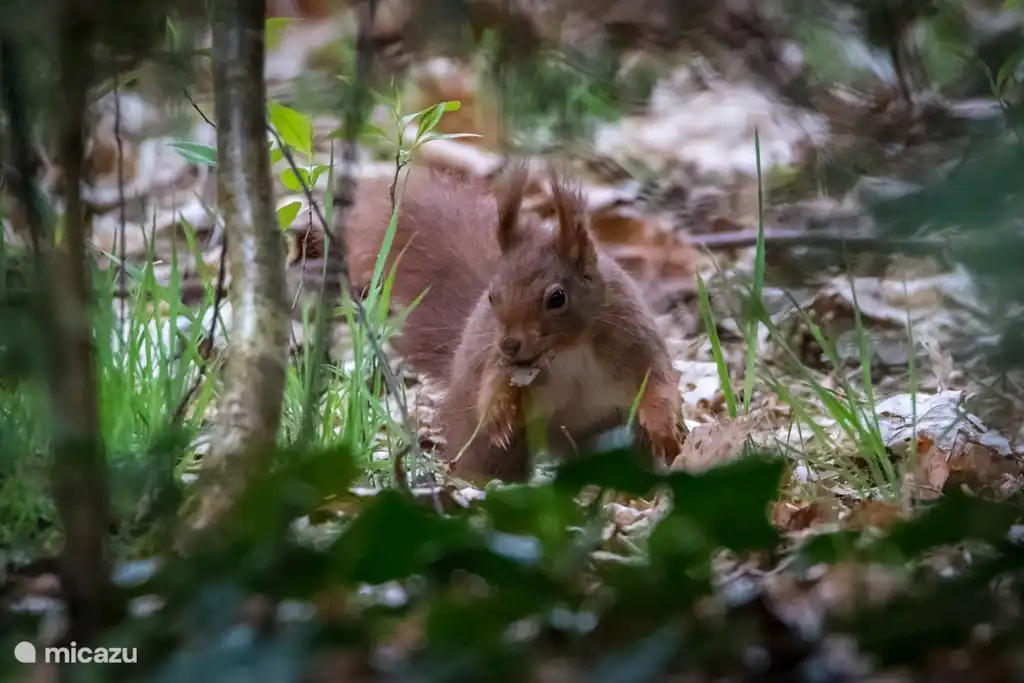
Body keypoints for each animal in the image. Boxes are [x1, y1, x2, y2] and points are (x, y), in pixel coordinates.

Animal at [345, 163, 686, 483]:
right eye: (492, 295)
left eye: (557, 298)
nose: (510, 345)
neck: (568, 348)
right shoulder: (499, 360)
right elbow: (493, 379)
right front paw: (496, 412)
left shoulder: (631, 334)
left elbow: (657, 381)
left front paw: (665, 429)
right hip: (489, 441)